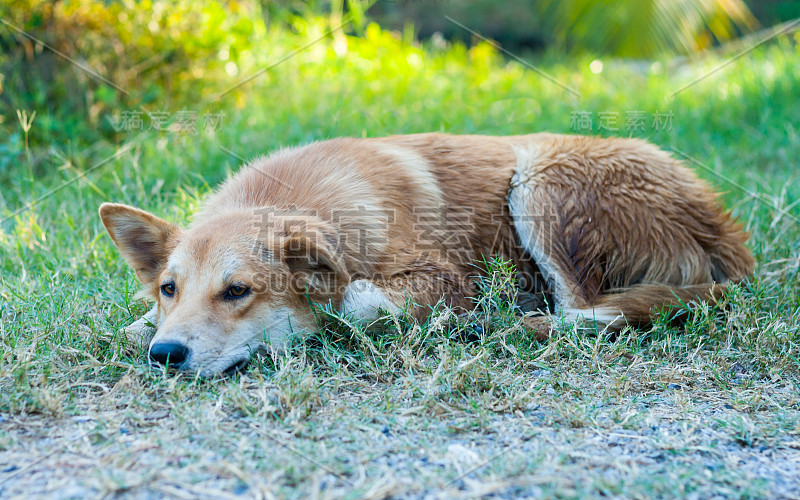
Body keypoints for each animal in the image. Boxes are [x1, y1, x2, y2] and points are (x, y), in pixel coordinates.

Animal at [98, 133, 752, 376]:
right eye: (169, 289)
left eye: (238, 291)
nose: (167, 356)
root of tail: (723, 228)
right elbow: (129, 328)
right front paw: (142, 330)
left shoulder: (448, 278)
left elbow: (357, 301)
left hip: (540, 182)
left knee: (583, 311)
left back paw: (505, 326)